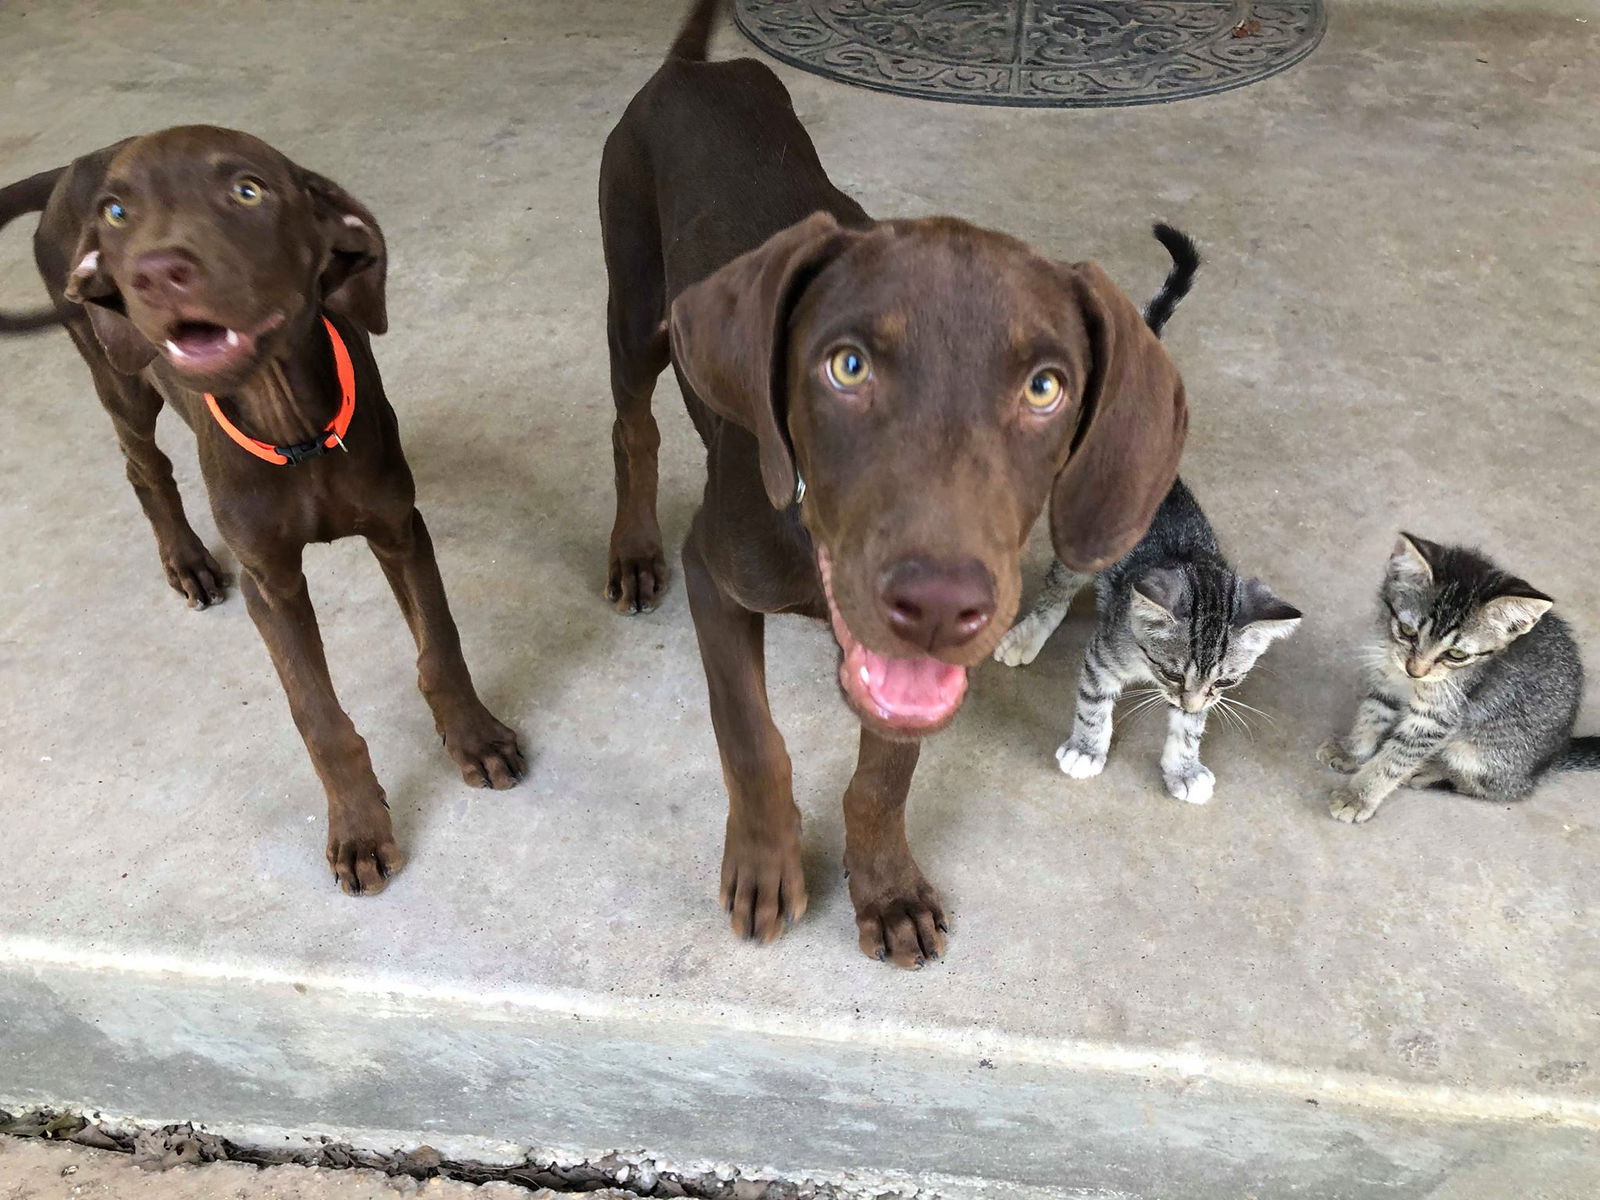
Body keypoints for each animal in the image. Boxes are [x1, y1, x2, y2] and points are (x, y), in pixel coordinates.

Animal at [0, 129, 524, 896]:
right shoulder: (268, 584)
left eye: (248, 191)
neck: (292, 428)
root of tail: (76, 165)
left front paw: (476, 737)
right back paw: (186, 559)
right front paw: (358, 829)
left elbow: (441, 646)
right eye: (119, 212)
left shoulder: (400, 530)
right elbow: (316, 714)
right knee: (142, 466)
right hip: (117, 372)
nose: (156, 272)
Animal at [601, 0, 1190, 966]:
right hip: (633, 306)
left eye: (1046, 388)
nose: (944, 604)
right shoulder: (713, 571)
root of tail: (690, 70)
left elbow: (885, 770)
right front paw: (766, 864)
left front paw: (885, 888)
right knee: (633, 430)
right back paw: (629, 550)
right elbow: (749, 736)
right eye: (847, 367)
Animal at [1004, 483, 1305, 809]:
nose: (1188, 705)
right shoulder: (1105, 652)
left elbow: (1190, 728)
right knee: (1058, 586)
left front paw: (1184, 769)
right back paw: (1029, 633)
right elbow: (1093, 703)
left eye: (1225, 681)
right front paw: (1085, 750)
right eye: (1172, 674)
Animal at [1318, 540, 1593, 825]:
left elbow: (1395, 758)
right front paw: (1352, 751)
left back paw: (1431, 770)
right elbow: (1371, 716)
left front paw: (1358, 795)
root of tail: (1555, 755)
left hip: (1482, 752)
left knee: (1502, 789)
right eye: (1407, 631)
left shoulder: (1438, 717)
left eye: (1456, 655)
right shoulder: (1386, 683)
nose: (1415, 670)